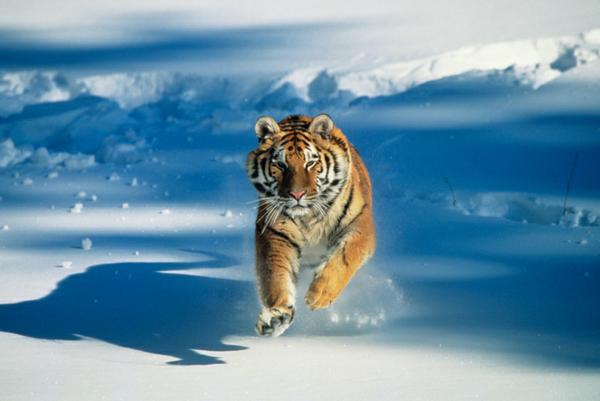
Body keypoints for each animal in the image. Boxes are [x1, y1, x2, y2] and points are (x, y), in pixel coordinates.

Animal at [245, 114, 376, 336]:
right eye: (281, 164)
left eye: (311, 162)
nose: (297, 194)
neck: (309, 217)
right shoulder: (275, 234)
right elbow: (275, 275)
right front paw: (276, 317)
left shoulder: (360, 227)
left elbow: (345, 257)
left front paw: (319, 295)